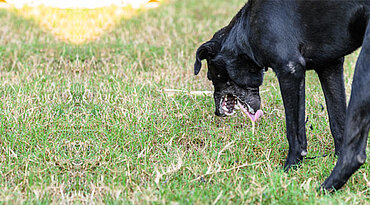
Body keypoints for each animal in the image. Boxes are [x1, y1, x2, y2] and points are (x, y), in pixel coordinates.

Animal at [195, 0, 368, 191]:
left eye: (211, 76)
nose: (217, 112)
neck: (245, 30)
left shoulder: (290, 71)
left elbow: (294, 131)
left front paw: (289, 169)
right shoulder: (330, 67)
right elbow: (337, 123)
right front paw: (333, 157)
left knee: (355, 154)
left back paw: (324, 188)